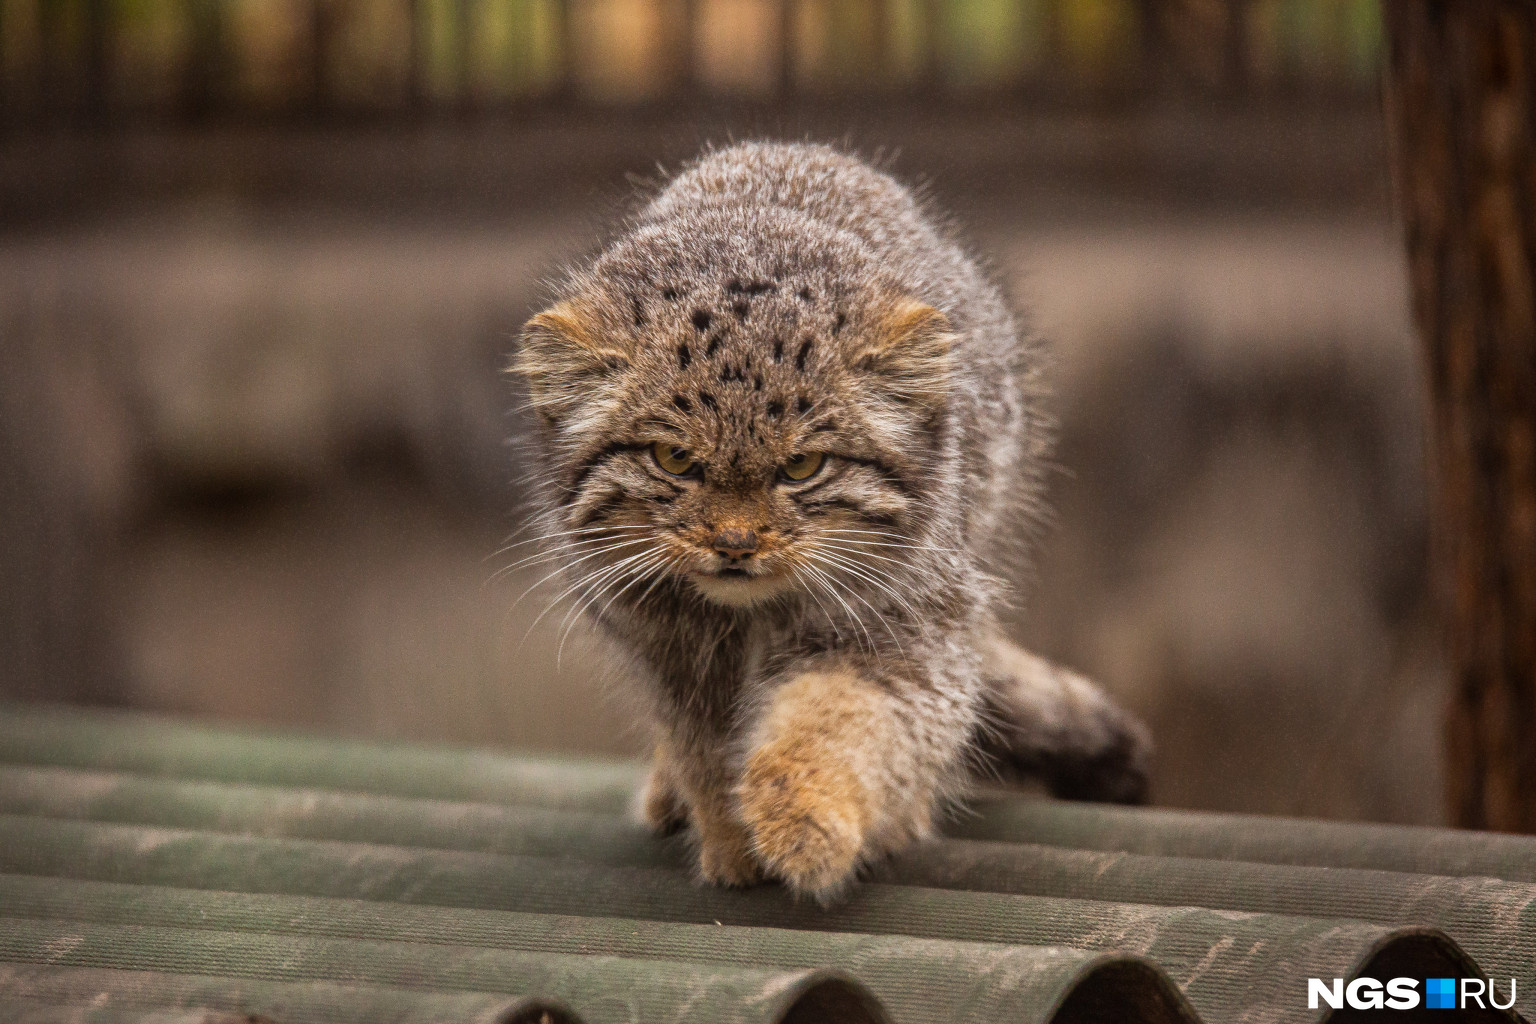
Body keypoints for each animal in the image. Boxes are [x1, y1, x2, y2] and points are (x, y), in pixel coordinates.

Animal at [509, 142, 1148, 896]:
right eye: (674, 460)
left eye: (802, 468)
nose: (736, 542)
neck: (751, 617)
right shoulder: (666, 649)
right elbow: (704, 752)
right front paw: (730, 842)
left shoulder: (902, 625)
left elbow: (845, 722)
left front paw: (806, 820)